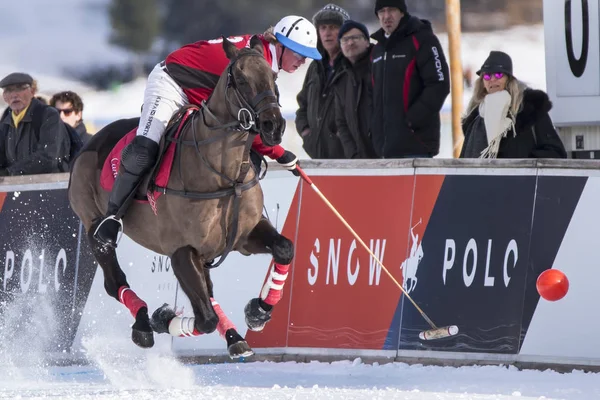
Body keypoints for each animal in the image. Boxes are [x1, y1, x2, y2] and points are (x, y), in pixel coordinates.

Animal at [68, 37, 292, 358]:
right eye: (241, 80)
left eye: (273, 78)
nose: (274, 125)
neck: (224, 176)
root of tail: (91, 139)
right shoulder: (181, 251)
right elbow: (205, 319)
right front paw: (161, 318)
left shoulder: (245, 236)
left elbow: (284, 248)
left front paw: (258, 312)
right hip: (92, 224)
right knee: (113, 279)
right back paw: (143, 323)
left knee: (207, 292)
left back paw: (234, 337)